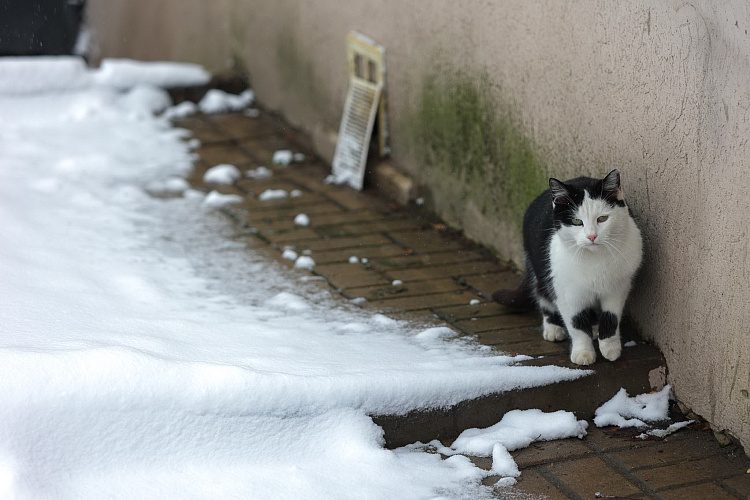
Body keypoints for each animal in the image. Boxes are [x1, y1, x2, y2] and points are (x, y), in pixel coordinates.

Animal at [496, 170, 644, 366]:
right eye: (576, 221)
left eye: (602, 218)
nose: (592, 236)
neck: (595, 260)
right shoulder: (566, 292)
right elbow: (576, 324)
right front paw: (583, 352)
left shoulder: (618, 288)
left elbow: (611, 319)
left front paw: (610, 348)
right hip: (540, 270)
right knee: (542, 294)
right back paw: (553, 328)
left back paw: (594, 327)